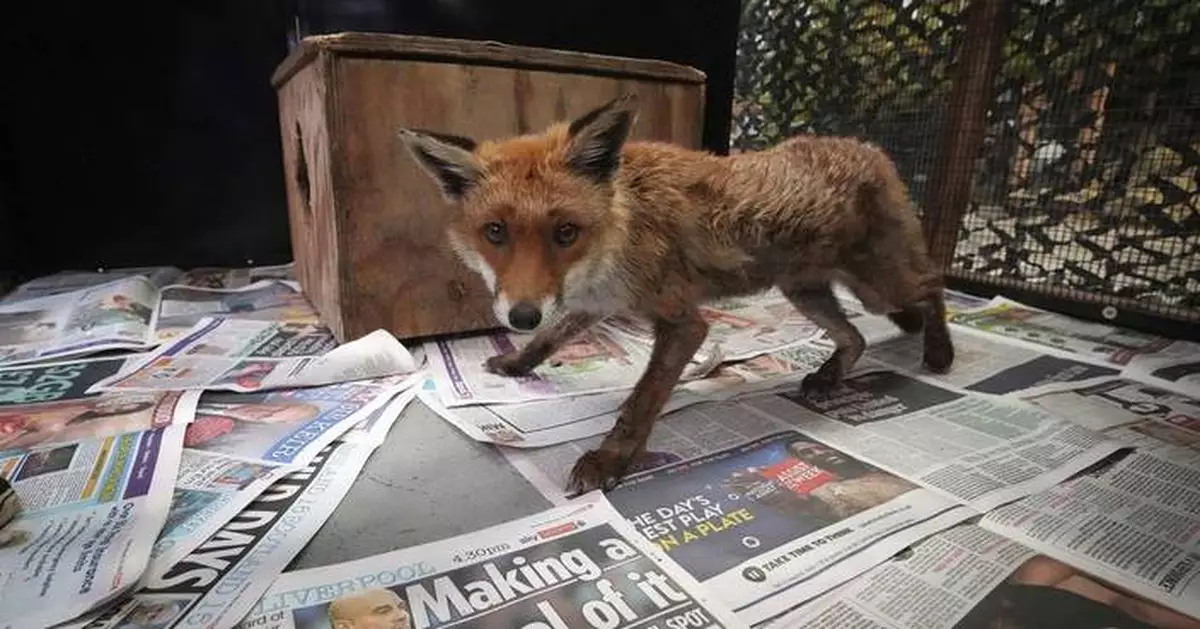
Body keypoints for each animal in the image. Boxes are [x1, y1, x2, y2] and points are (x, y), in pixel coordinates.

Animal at [398, 93, 954, 495]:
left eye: (565, 233)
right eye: (495, 233)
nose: (521, 315)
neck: (619, 232)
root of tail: (870, 147)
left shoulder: (683, 322)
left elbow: (640, 404)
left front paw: (610, 459)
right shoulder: (594, 302)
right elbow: (552, 338)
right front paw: (517, 361)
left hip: (878, 286)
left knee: (931, 285)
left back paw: (939, 350)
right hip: (806, 291)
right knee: (855, 337)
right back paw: (830, 375)